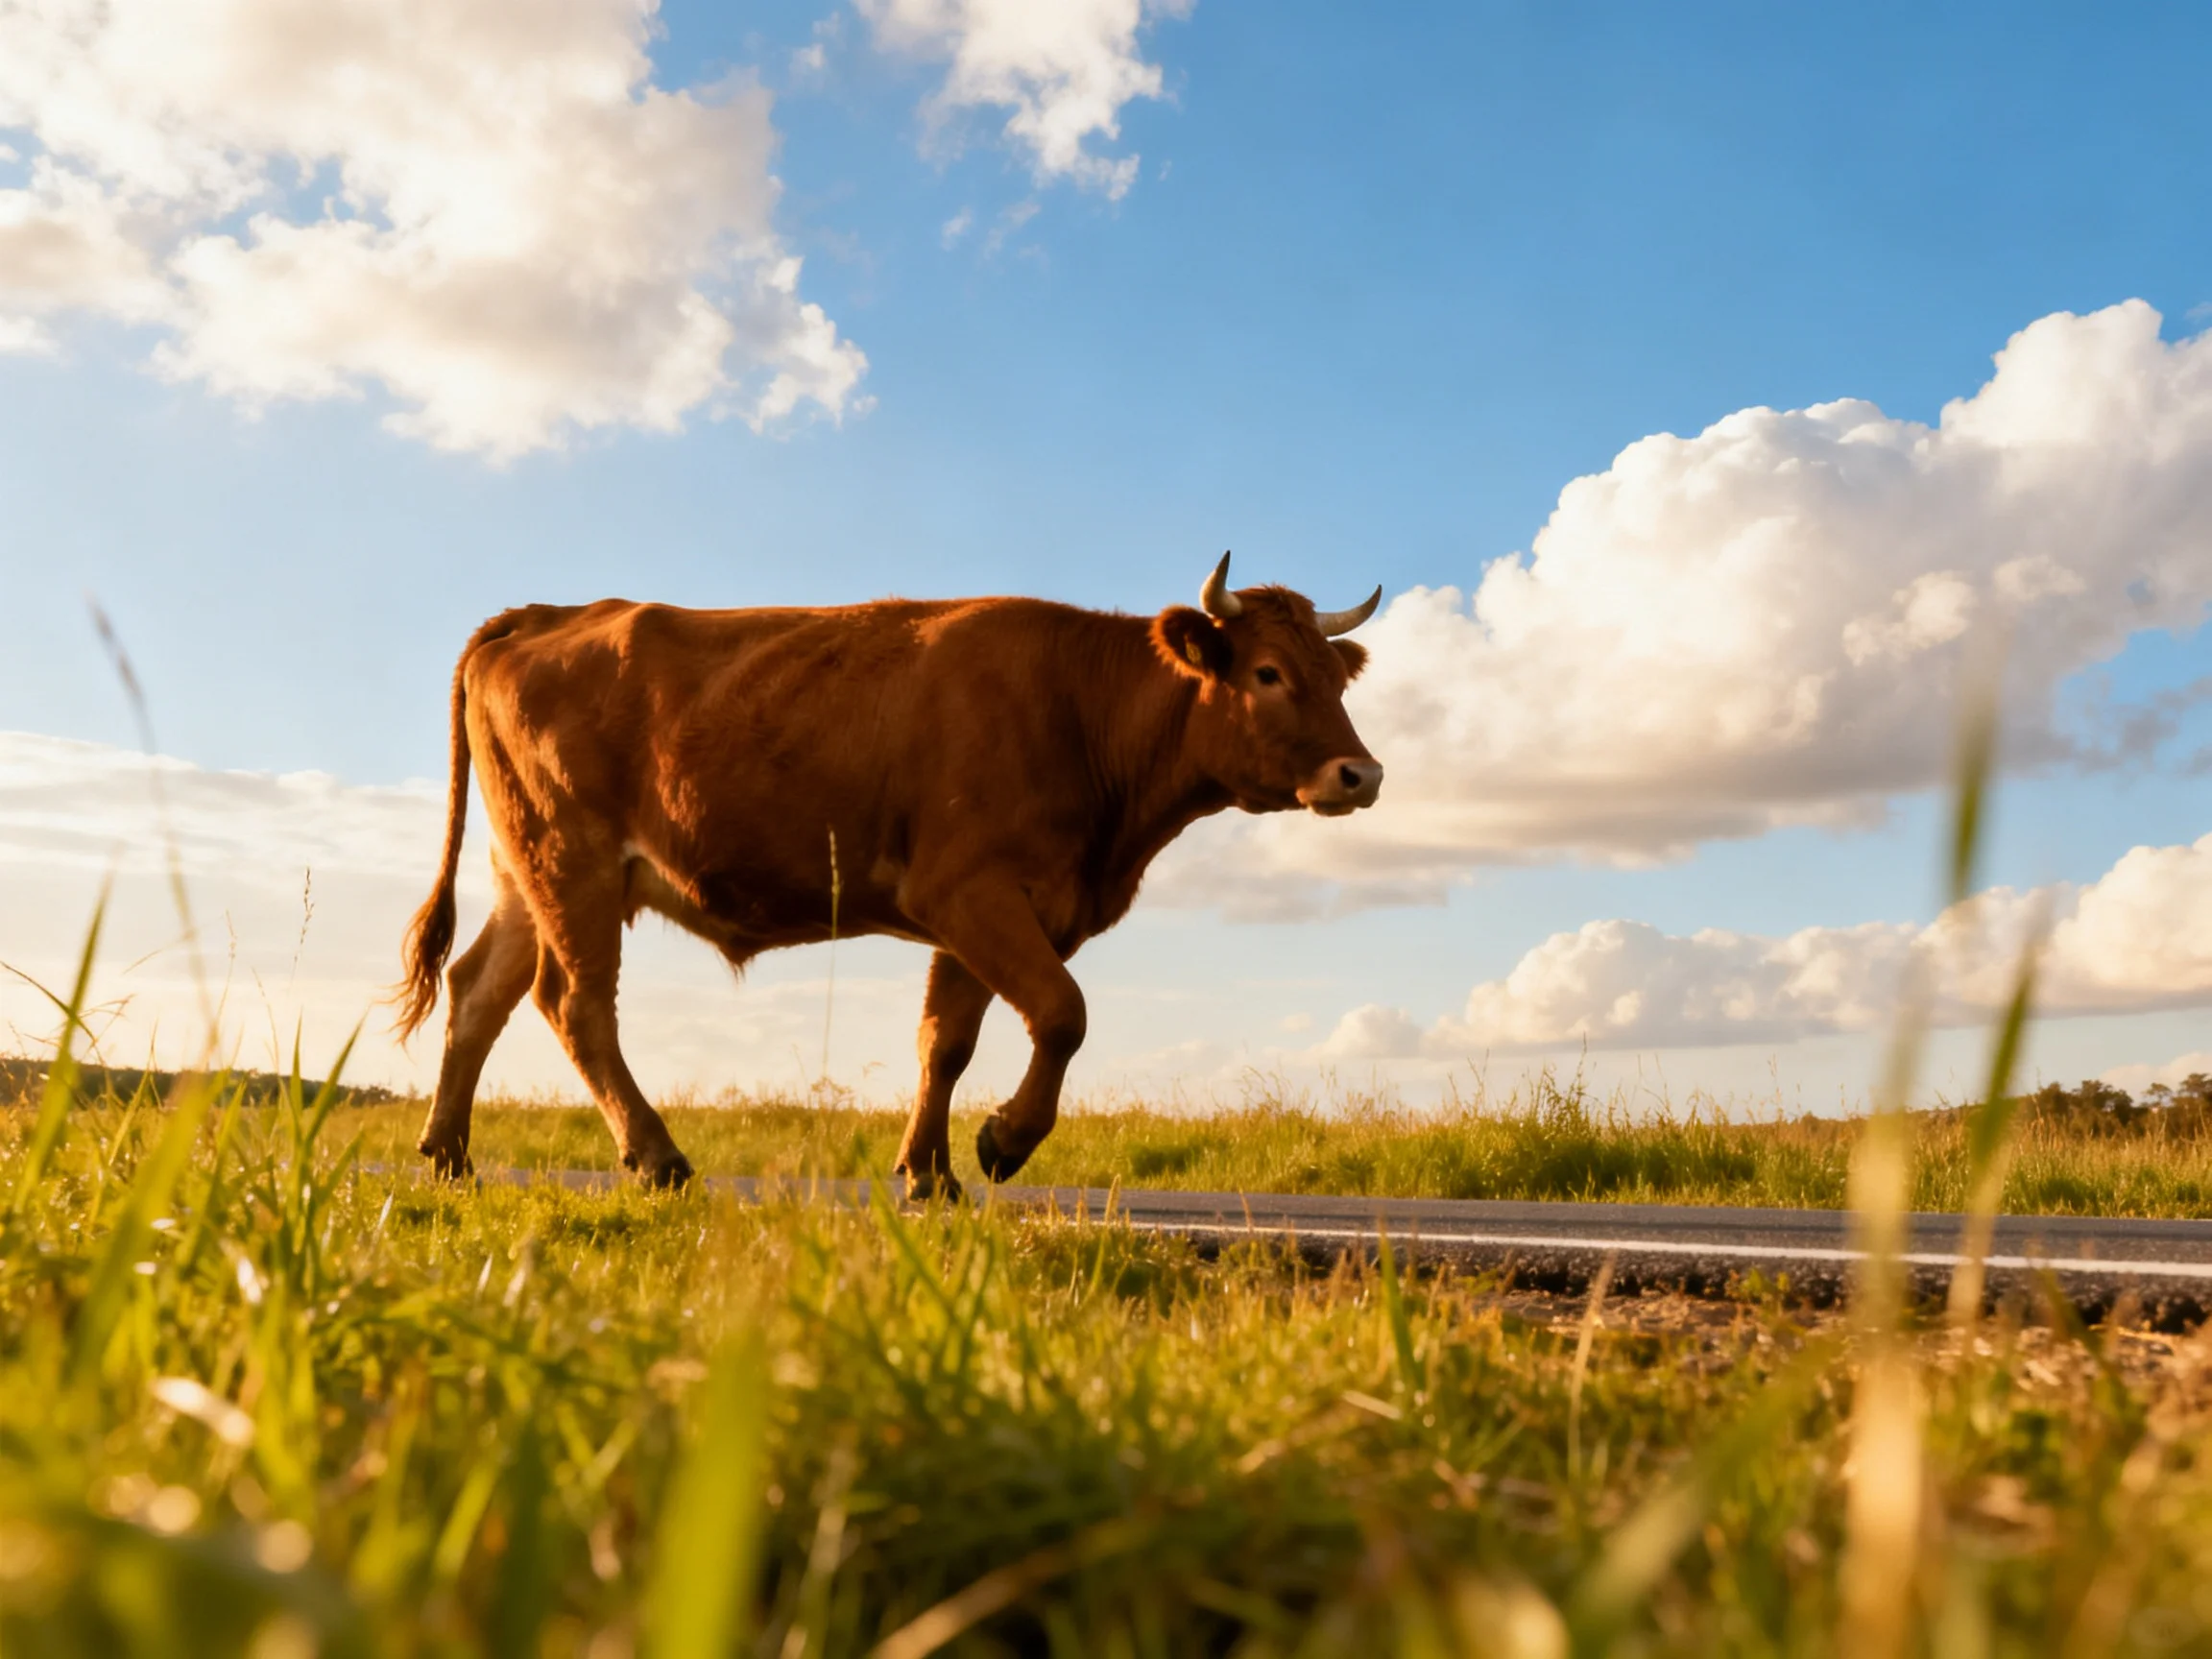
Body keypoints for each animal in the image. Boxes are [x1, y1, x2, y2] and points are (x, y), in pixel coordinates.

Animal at [394, 553, 1384, 1196]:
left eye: (1337, 679)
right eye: (1268, 673)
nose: (1362, 775)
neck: (1080, 708)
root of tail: (545, 613)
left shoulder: (987, 910)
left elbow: (945, 1041)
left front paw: (927, 1172)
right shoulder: (969, 890)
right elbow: (1062, 1014)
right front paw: (1004, 1142)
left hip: (526, 872)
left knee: (478, 991)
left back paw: (449, 1157)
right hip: (575, 863)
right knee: (574, 1004)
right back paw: (657, 1158)